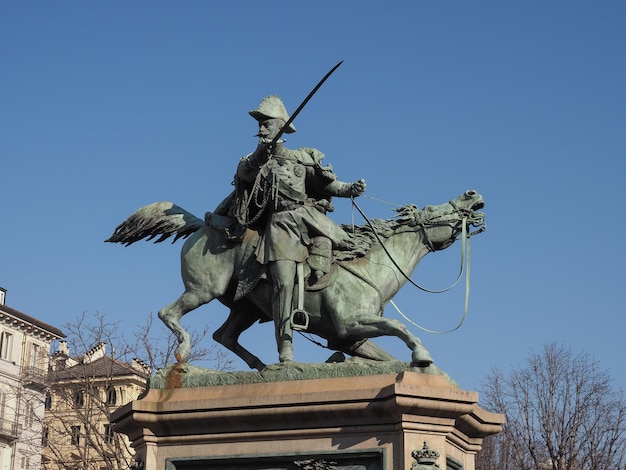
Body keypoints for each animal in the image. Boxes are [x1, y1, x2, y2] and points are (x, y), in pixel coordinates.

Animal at [107, 189, 482, 370]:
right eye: (431, 209)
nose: (472, 194)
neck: (368, 269)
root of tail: (204, 224)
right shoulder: (351, 323)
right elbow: (400, 328)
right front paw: (421, 354)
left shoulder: (351, 338)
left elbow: (384, 356)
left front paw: (342, 363)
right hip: (203, 290)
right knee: (168, 314)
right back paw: (185, 353)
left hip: (246, 308)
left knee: (223, 335)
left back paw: (264, 366)